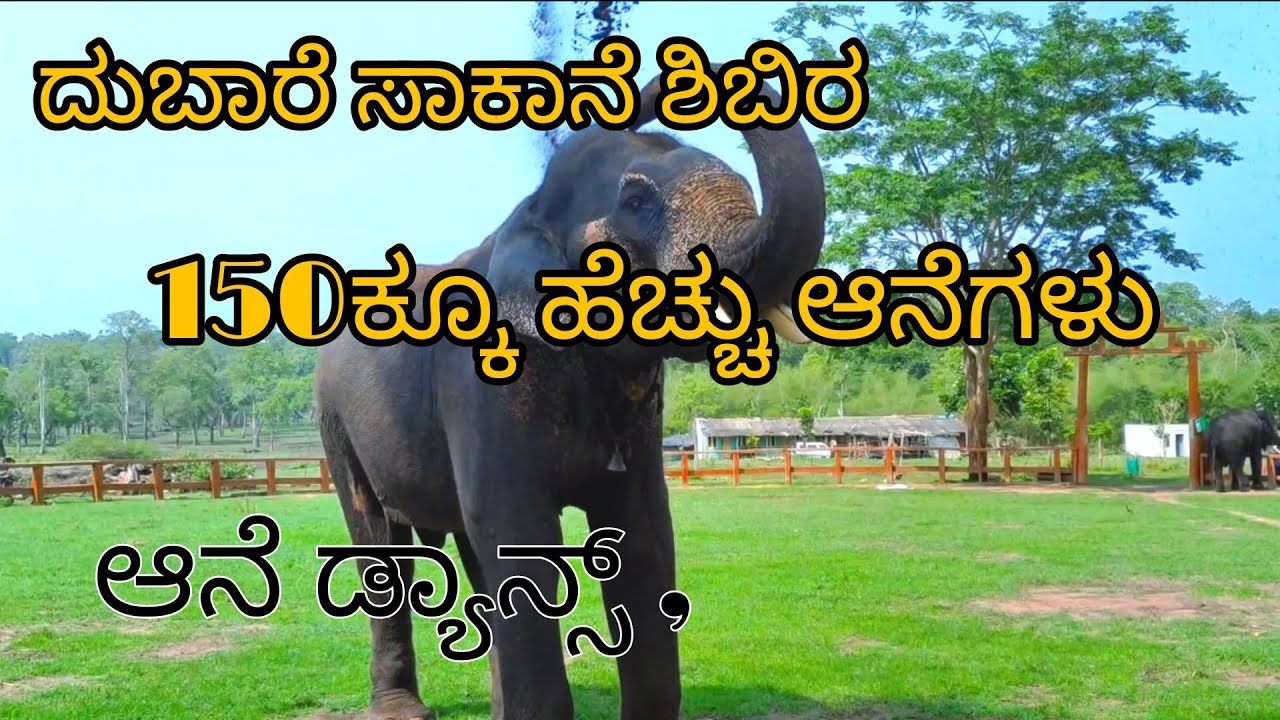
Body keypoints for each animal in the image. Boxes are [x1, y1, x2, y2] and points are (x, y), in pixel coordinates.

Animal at [313, 67, 824, 720]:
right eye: (635, 203)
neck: (529, 210)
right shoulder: (483, 378)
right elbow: (522, 536)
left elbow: (643, 536)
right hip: (334, 423)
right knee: (378, 540)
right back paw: (400, 708)